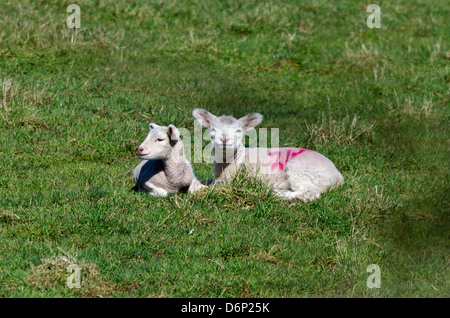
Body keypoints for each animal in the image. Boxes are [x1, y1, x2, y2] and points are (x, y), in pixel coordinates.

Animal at [192, 107, 344, 201]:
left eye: (238, 131)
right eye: (212, 129)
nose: (224, 140)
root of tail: (337, 175)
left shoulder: (230, 182)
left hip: (302, 170)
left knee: (308, 193)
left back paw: (279, 194)